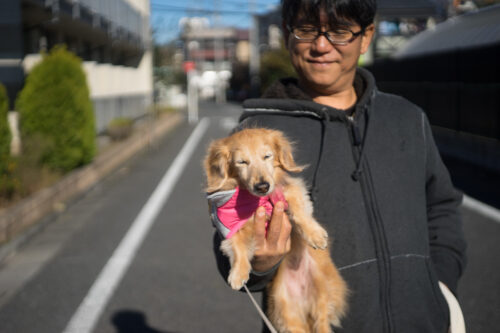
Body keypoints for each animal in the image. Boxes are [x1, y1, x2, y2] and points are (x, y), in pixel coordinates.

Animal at [203, 127, 348, 332]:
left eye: (267, 156)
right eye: (241, 162)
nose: (263, 186)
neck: (256, 200)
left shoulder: (289, 190)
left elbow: (299, 212)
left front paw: (315, 235)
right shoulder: (228, 225)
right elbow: (238, 248)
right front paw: (238, 273)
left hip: (323, 295)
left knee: (322, 321)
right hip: (285, 312)